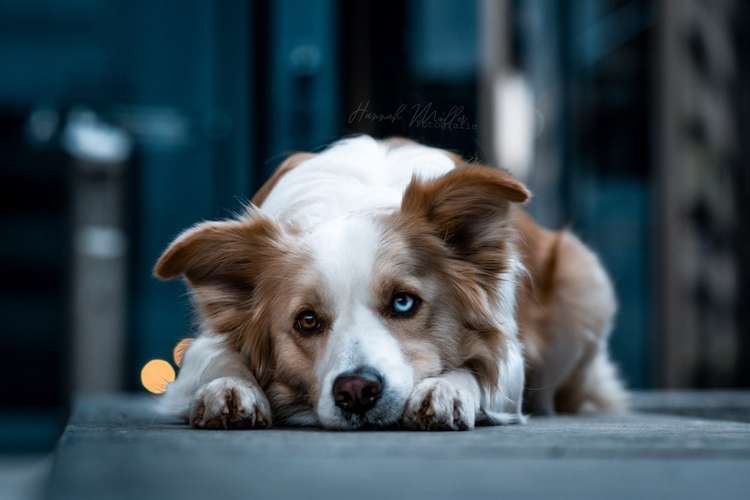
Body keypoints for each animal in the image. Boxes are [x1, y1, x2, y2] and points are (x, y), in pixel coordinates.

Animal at [154, 136, 628, 430]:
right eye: (306, 321)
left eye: (403, 303)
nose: (356, 391)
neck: (350, 206)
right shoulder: (204, 341)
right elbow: (215, 357)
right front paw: (229, 389)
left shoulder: (509, 351)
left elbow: (477, 370)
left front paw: (446, 390)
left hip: (584, 276)